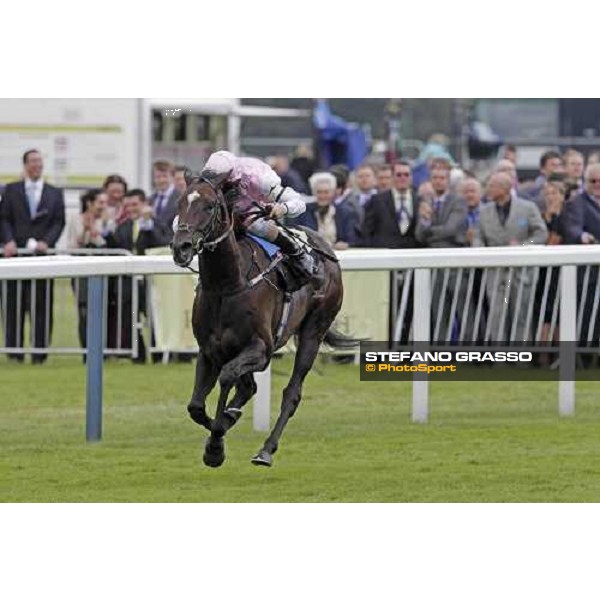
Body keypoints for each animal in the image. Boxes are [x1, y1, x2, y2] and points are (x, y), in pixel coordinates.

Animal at [171, 171, 354, 466]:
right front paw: (219, 430)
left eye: (209, 206)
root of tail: (325, 246)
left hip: (314, 330)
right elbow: (196, 406)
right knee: (249, 387)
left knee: (291, 393)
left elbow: (227, 377)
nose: (181, 247)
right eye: (180, 204)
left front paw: (216, 443)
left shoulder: (261, 349)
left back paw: (265, 450)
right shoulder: (209, 350)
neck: (227, 285)